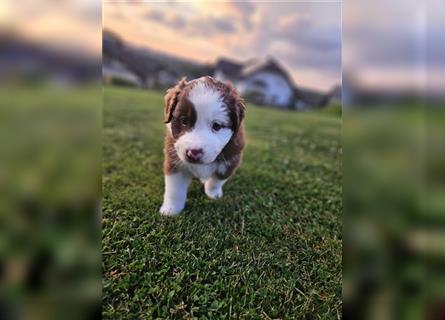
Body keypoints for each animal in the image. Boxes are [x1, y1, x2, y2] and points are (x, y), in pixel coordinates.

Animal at [159, 75, 245, 215]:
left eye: (217, 126)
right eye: (184, 121)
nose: (193, 153)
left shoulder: (231, 160)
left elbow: (217, 180)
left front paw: (213, 194)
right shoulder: (175, 161)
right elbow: (175, 190)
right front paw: (171, 210)